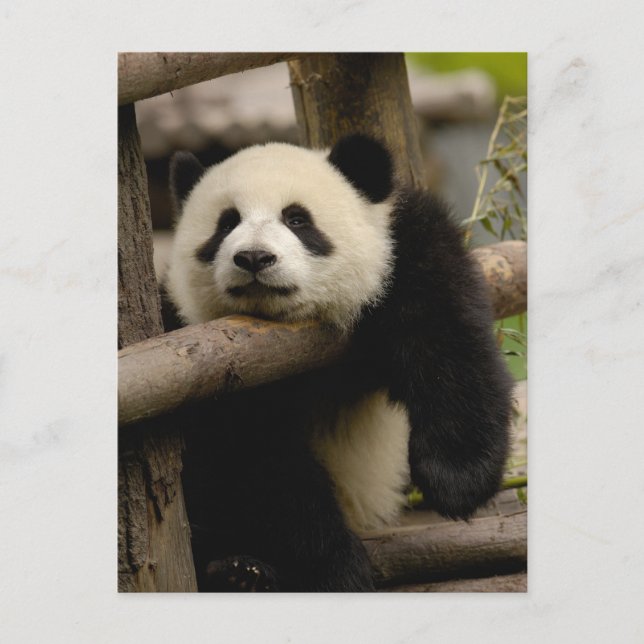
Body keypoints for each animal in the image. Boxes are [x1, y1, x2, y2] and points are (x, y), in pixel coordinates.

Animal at [160, 134, 513, 592]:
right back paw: (239, 572)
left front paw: (456, 480)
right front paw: (338, 567)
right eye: (226, 223)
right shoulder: (212, 358)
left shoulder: (403, 250)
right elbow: (255, 460)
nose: (254, 258)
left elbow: (447, 337)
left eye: (297, 219)